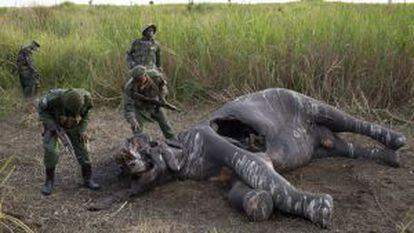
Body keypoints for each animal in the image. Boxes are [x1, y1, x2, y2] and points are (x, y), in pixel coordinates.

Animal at [89, 87, 406, 228]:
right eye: (122, 168)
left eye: (136, 145)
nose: (126, 160)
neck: (184, 151)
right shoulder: (229, 175)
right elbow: (251, 196)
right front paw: (258, 201)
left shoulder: (210, 140)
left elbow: (265, 174)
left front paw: (320, 207)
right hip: (326, 145)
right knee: (349, 146)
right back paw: (390, 157)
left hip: (312, 105)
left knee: (350, 121)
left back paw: (397, 139)